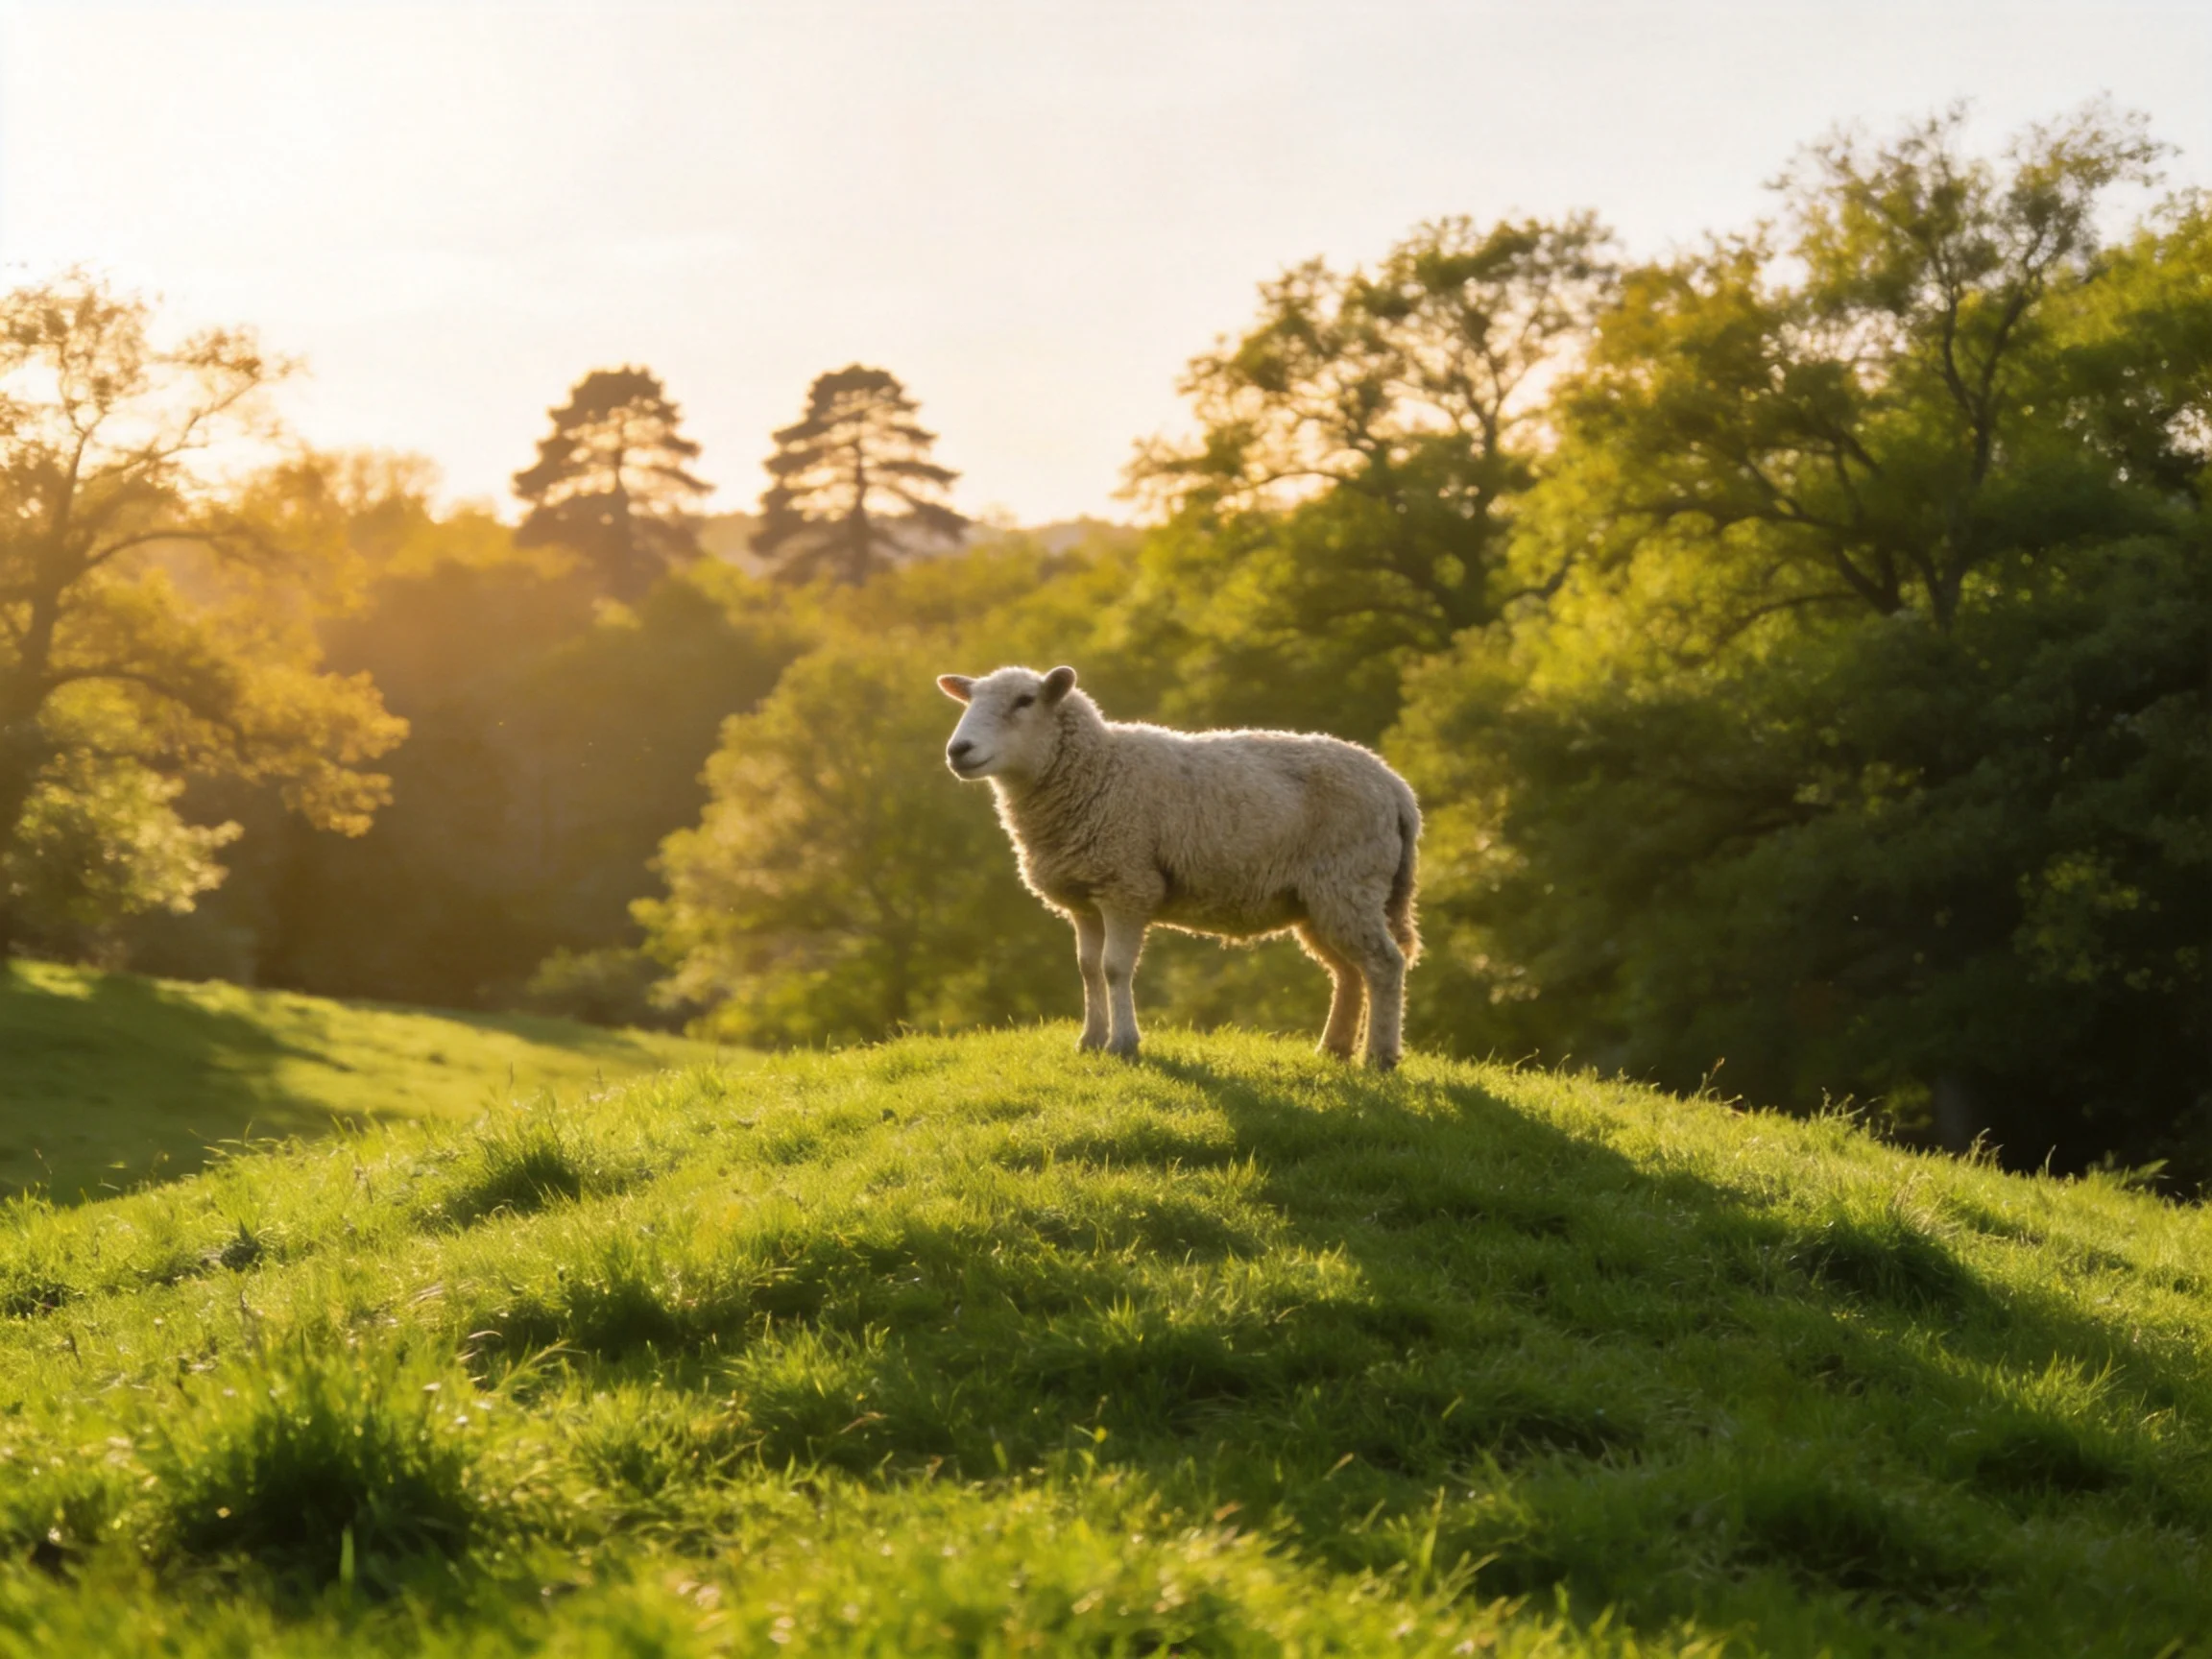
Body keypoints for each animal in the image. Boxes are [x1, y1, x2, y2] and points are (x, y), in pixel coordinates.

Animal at [937, 664, 1420, 1068]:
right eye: (969, 700)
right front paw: (1090, 1041)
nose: (958, 750)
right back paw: (1334, 1048)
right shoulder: (1085, 897)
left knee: (1384, 964)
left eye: (1024, 701)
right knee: (1348, 972)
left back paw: (1379, 1056)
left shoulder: (1126, 884)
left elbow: (1114, 968)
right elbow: (1088, 969)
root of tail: (1396, 787)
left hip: (1349, 881)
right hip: (1318, 897)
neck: (1099, 770)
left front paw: (1123, 1044)